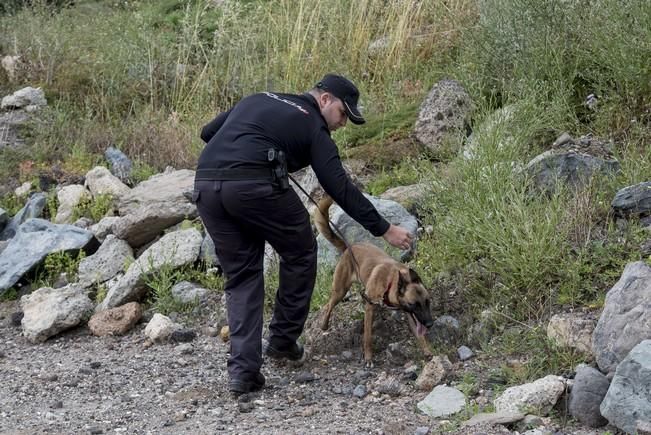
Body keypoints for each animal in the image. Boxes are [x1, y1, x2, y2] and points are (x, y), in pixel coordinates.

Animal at [314, 196, 436, 366]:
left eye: (427, 302)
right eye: (414, 304)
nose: (430, 324)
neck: (391, 281)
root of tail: (349, 247)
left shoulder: (409, 314)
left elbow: (419, 334)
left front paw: (427, 350)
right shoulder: (370, 307)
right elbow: (367, 337)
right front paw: (368, 357)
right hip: (340, 290)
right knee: (328, 305)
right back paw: (324, 324)